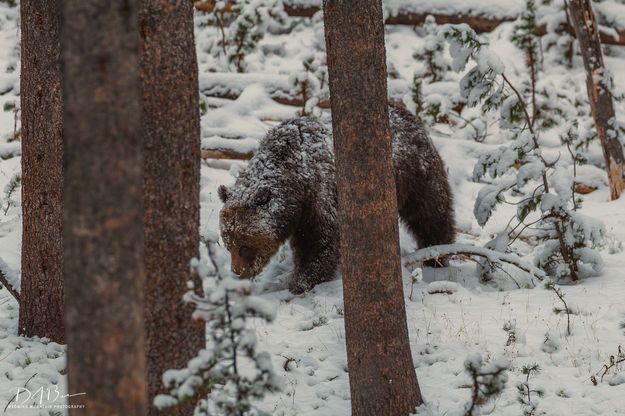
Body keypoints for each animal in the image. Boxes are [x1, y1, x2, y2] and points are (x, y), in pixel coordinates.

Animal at [218, 105, 454, 294]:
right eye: (228, 243)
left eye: (245, 246)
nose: (238, 272)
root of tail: (409, 115)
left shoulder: (321, 196)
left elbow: (320, 242)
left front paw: (303, 281)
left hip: (414, 175)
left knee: (429, 213)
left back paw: (437, 255)